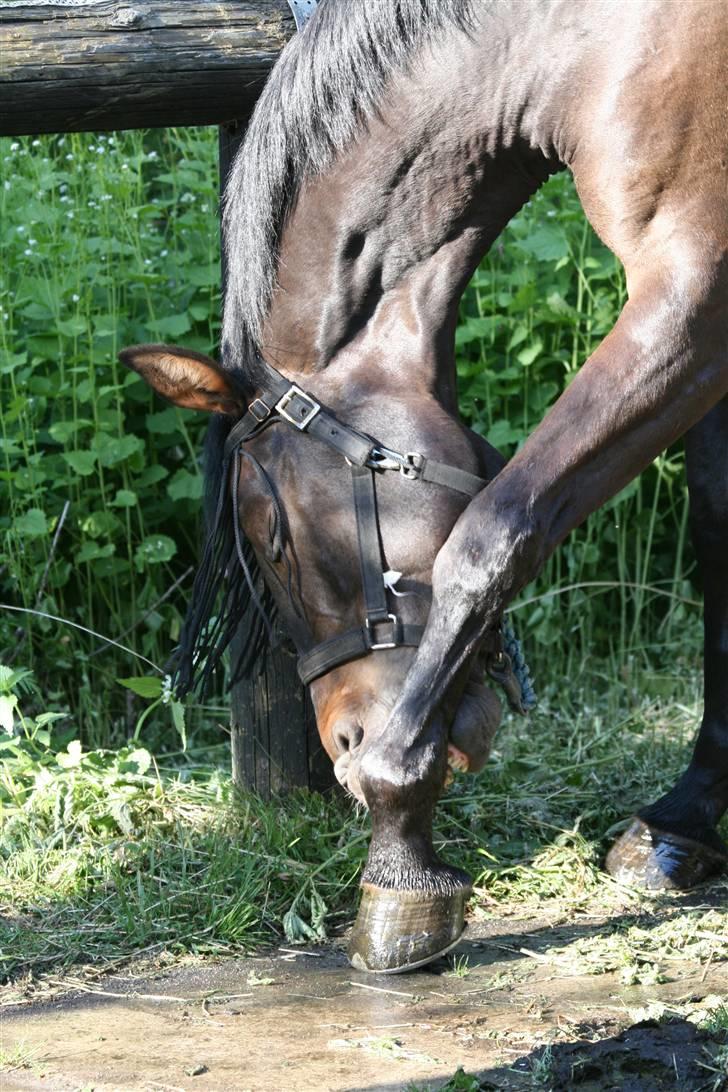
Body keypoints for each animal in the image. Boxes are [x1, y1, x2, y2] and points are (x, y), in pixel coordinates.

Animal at [121, 0, 728, 974]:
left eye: (273, 538)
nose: (342, 744)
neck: (572, 45)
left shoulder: (691, 293)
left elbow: (490, 537)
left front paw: (400, 847)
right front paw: (684, 819)